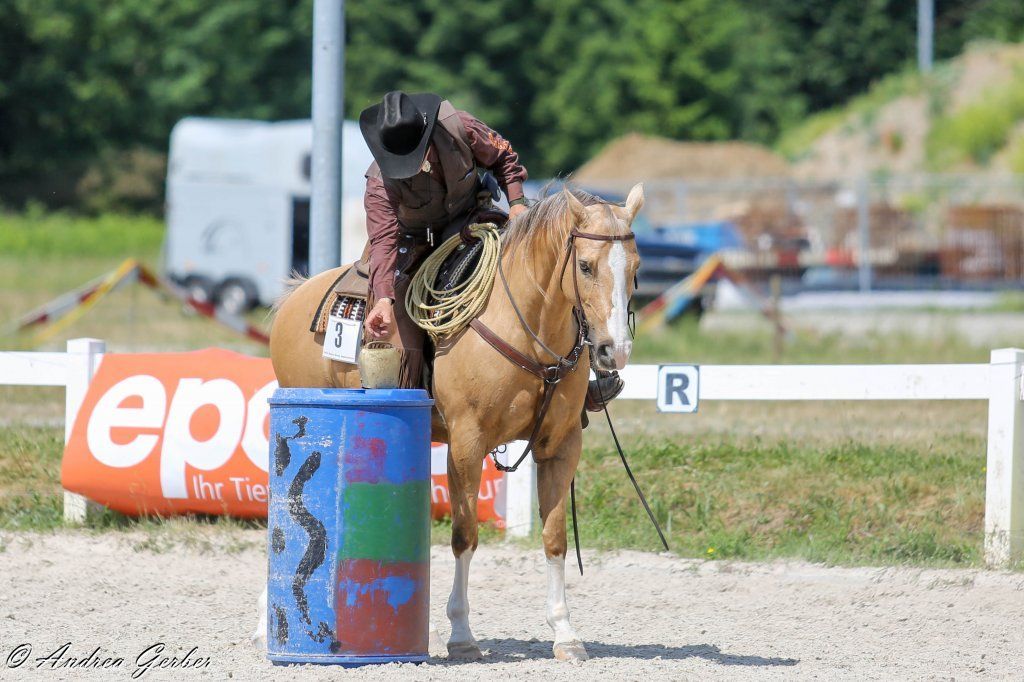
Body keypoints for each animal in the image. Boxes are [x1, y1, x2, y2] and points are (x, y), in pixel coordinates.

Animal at [263, 184, 643, 662]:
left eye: (636, 268)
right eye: (585, 265)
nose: (615, 350)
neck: (527, 328)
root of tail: (298, 294)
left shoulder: (561, 445)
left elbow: (554, 537)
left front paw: (565, 633)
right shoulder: (467, 443)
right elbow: (465, 535)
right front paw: (461, 634)